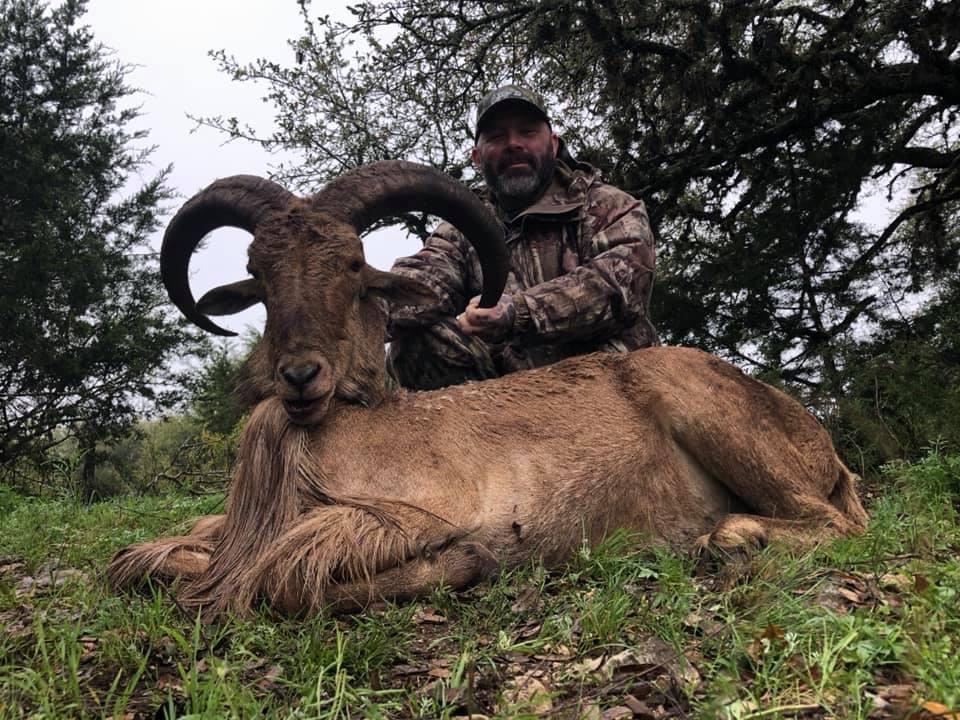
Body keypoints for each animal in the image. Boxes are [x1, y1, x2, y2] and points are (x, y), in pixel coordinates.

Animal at [108, 160, 868, 617]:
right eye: (258, 270)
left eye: (352, 264)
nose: (300, 375)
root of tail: (819, 440)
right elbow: (137, 562)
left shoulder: (407, 516)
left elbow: (284, 581)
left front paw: (474, 559)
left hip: (707, 413)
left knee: (834, 524)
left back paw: (726, 537)